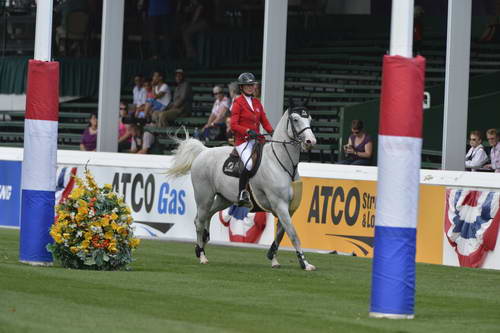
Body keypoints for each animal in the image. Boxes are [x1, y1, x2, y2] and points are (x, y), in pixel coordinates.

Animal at [166, 106, 318, 270]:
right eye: (296, 119)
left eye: (309, 119)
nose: (311, 141)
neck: (281, 163)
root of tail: (204, 151)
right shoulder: (280, 205)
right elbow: (293, 234)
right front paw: (305, 263)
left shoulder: (289, 208)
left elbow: (281, 233)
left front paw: (273, 258)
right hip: (204, 198)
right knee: (199, 221)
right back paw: (202, 256)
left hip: (223, 199)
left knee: (206, 216)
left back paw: (201, 246)